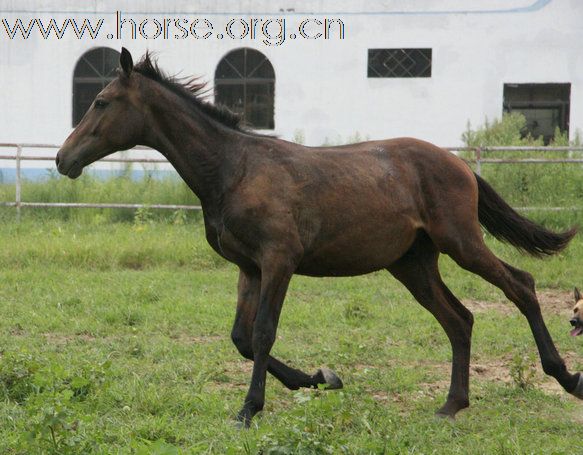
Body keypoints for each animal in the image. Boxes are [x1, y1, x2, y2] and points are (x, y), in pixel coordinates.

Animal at [56, 50, 583, 428]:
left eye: (101, 102)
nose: (63, 159)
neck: (233, 169)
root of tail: (460, 165)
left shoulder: (279, 260)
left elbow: (263, 333)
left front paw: (249, 410)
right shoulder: (249, 267)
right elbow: (241, 337)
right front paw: (320, 378)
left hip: (460, 242)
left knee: (520, 285)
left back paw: (566, 377)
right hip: (412, 263)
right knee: (460, 318)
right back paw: (452, 405)